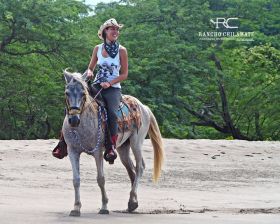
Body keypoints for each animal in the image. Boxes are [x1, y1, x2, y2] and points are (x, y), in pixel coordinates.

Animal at [61, 69, 164, 215]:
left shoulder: (98, 152)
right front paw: (76, 207)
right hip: (123, 148)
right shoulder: (72, 151)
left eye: (83, 93)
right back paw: (132, 203)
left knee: (140, 167)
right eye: (67, 93)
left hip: (136, 143)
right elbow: (76, 180)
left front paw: (104, 206)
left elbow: (101, 179)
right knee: (132, 171)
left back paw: (132, 201)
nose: (74, 120)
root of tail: (144, 107)